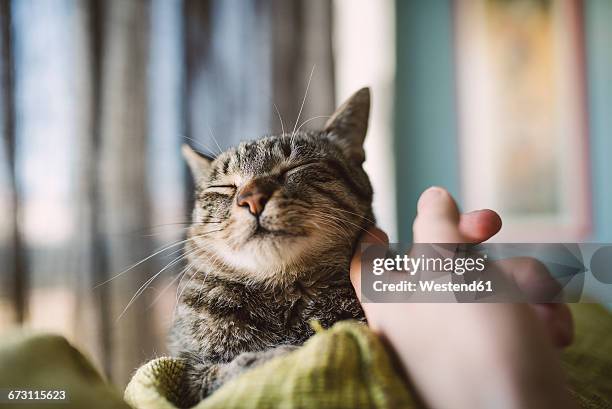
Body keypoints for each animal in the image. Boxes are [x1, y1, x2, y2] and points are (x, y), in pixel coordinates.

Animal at [170, 87, 376, 404]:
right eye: (224, 187)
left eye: (297, 166)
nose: (252, 198)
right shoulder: (188, 371)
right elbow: (223, 374)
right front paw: (273, 357)